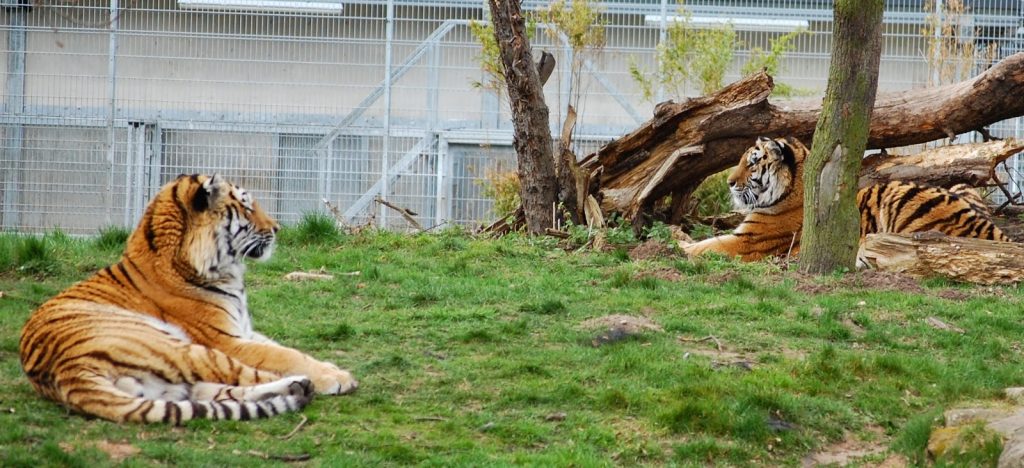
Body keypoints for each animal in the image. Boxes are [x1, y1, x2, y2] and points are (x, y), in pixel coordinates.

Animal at [19, 174, 358, 424]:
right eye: (247, 207)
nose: (277, 228)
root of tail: (66, 372)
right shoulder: (227, 340)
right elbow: (284, 356)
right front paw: (335, 375)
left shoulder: (245, 331)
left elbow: (290, 350)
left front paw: (326, 365)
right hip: (181, 349)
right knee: (245, 375)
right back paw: (312, 382)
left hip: (168, 385)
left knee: (223, 393)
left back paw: (296, 387)